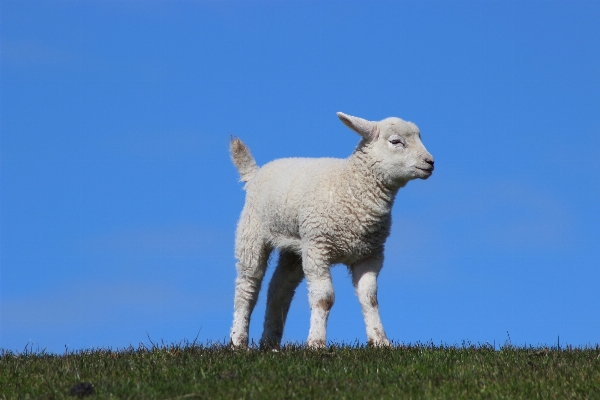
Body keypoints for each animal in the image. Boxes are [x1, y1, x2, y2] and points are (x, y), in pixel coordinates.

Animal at [229, 111, 432, 346]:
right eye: (396, 141)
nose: (430, 162)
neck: (351, 186)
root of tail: (255, 173)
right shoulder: (318, 247)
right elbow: (324, 298)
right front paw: (316, 342)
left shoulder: (370, 254)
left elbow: (369, 298)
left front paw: (380, 340)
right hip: (252, 234)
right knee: (247, 286)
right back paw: (238, 341)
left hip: (296, 247)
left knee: (279, 289)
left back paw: (270, 344)